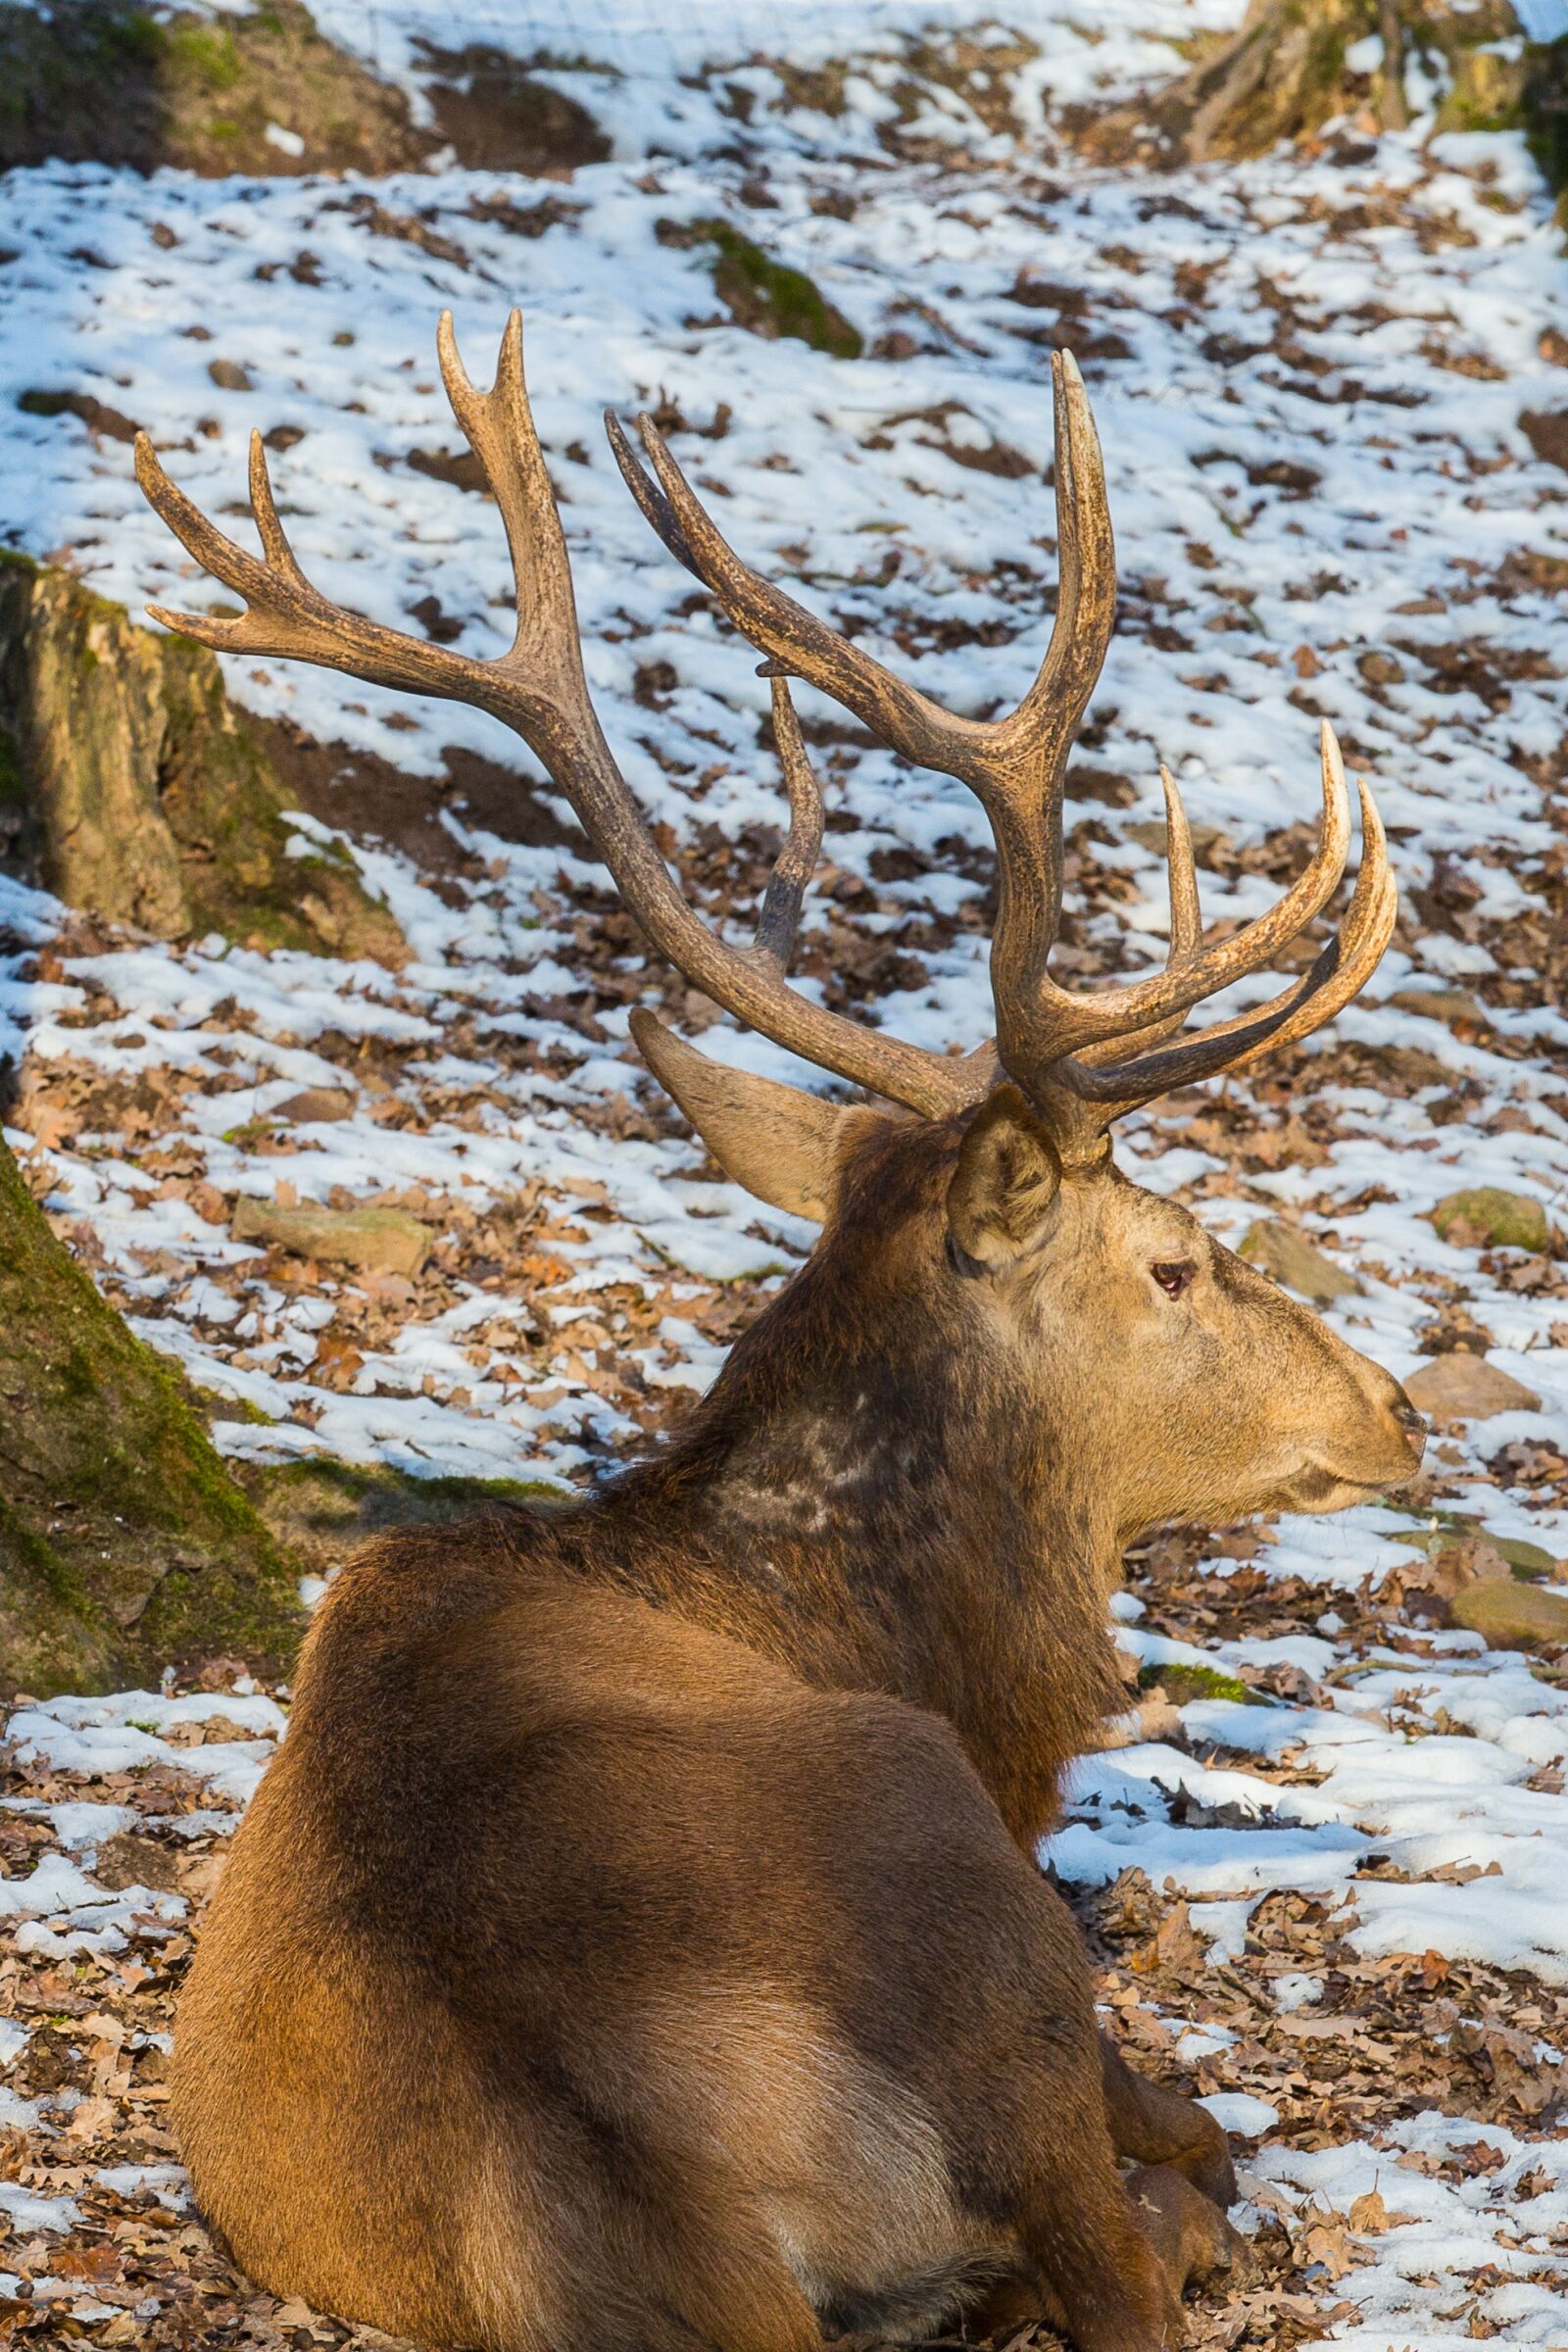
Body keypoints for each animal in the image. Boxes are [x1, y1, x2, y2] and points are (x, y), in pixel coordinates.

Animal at [134, 315, 1425, 2352]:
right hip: (980, 1935)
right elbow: (1201, 2134)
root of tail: (664, 2203)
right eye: (1176, 1264)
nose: (1396, 1407)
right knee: (1129, 2234)